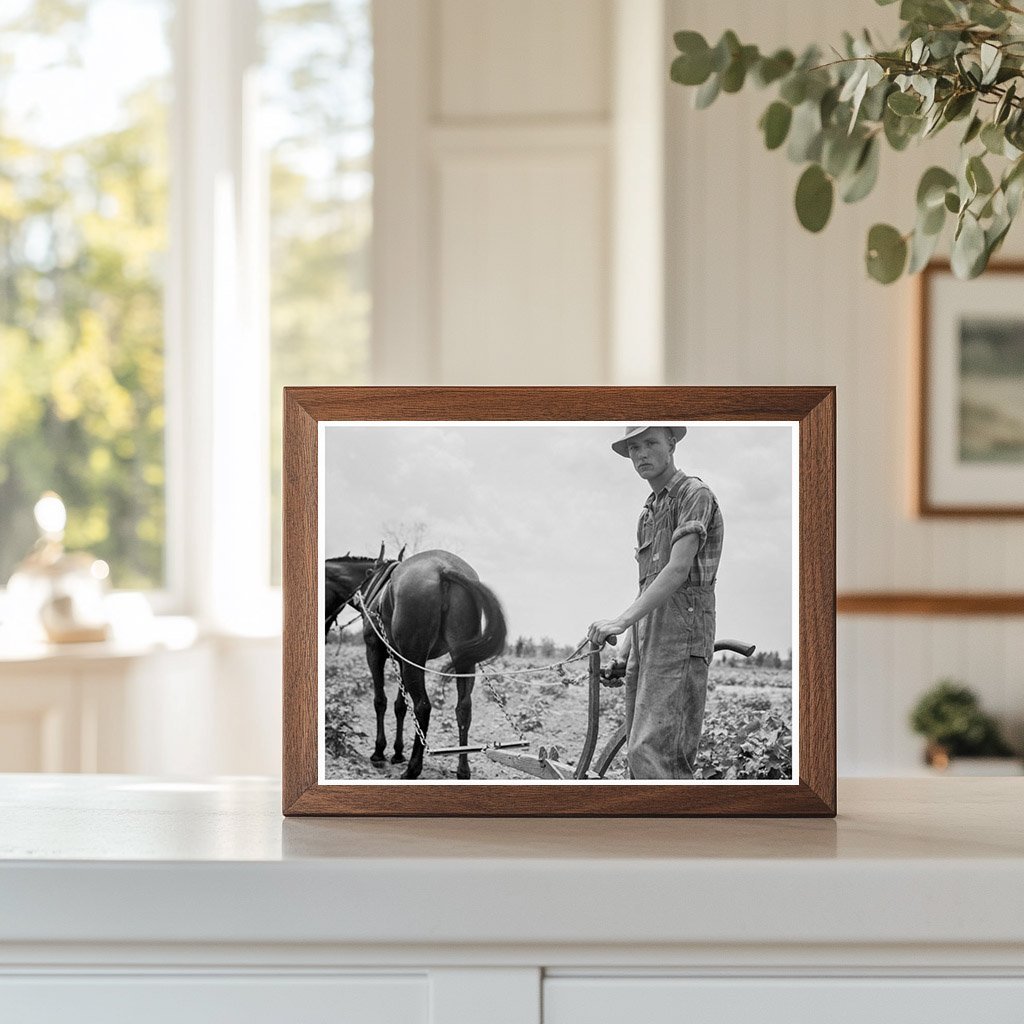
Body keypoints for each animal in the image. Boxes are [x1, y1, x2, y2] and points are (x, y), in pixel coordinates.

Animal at [360, 548, 507, 778]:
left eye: (368, 572)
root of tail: (444, 568)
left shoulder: (374, 652)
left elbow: (380, 701)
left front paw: (379, 752)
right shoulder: (400, 659)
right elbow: (400, 705)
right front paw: (397, 752)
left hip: (414, 657)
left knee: (422, 706)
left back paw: (413, 768)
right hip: (462, 659)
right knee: (463, 708)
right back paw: (462, 770)